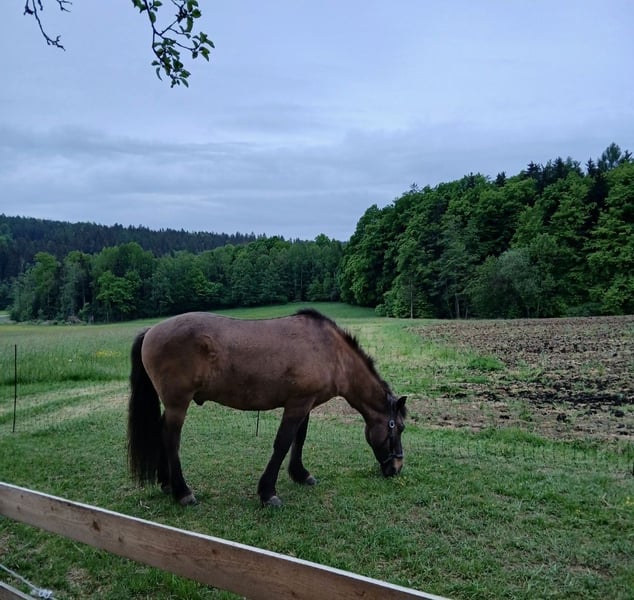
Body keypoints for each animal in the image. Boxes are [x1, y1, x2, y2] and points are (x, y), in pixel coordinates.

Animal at [127, 308, 406, 507]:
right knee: (171, 438)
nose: (396, 468)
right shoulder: (296, 405)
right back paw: (182, 492)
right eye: (399, 428)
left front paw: (300, 474)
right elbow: (283, 443)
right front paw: (268, 492)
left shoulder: (305, 404)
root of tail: (151, 330)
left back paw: (167, 483)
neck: (331, 352)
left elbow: (299, 440)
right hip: (178, 404)